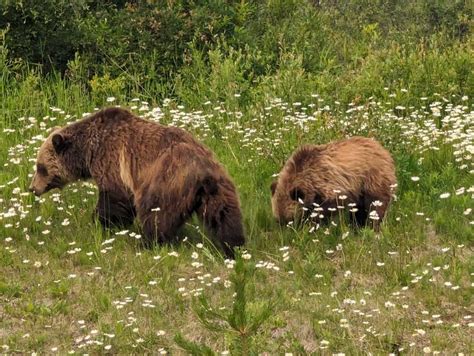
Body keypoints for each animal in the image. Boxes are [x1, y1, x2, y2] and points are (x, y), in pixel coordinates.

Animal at [28, 107, 244, 258]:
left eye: (40, 167)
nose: (32, 188)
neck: (88, 152)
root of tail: (202, 170)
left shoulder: (113, 162)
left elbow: (114, 199)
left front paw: (102, 222)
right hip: (219, 186)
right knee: (225, 216)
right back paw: (234, 248)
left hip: (164, 181)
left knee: (155, 214)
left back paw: (146, 242)